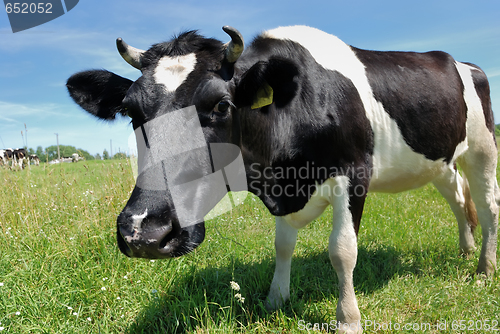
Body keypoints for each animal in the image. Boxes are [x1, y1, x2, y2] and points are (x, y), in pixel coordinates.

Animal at [67, 26, 500, 332]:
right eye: (130, 111)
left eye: (221, 105)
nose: (144, 231)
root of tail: (461, 62)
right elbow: (282, 245)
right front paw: (276, 299)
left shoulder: (354, 173)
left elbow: (342, 251)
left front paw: (348, 320)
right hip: (440, 161)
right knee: (458, 199)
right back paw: (465, 250)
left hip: (483, 148)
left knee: (488, 206)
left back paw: (483, 269)